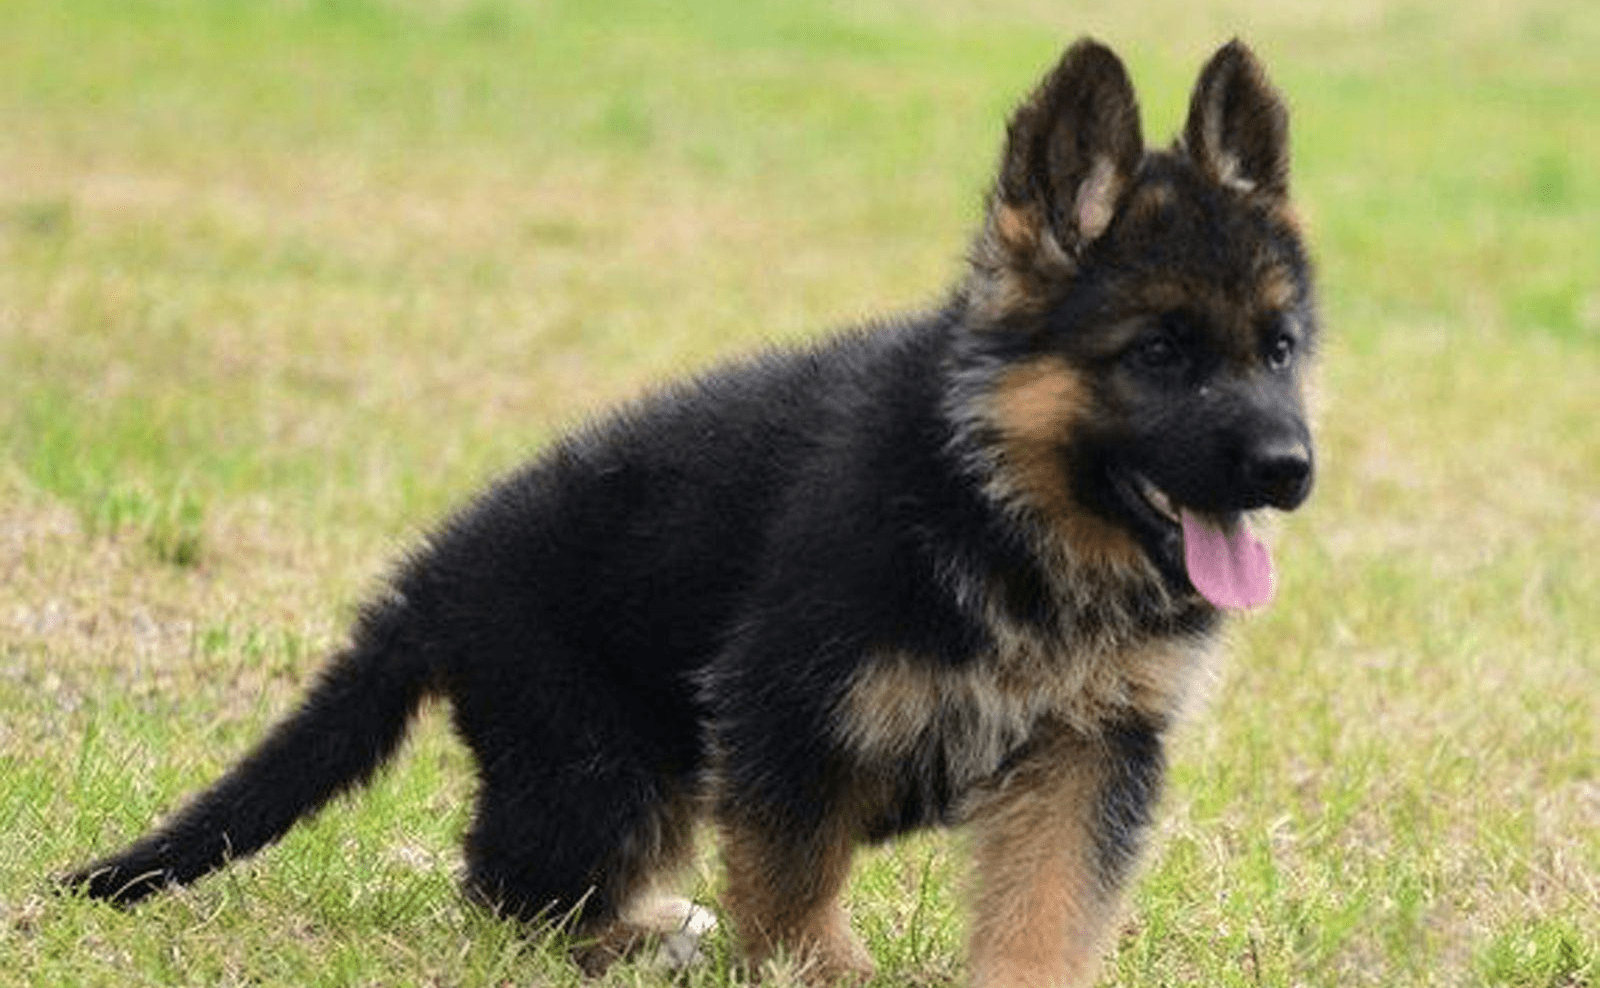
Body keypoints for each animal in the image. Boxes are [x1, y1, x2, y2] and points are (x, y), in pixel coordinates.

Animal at [65, 38, 1312, 984]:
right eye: (1159, 352)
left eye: (1280, 347)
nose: (1292, 468)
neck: (1002, 503)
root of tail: (439, 572)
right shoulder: (784, 711)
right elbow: (795, 888)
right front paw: (815, 971)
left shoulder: (1087, 753)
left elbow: (1047, 910)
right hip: (600, 762)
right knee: (507, 888)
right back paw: (637, 941)